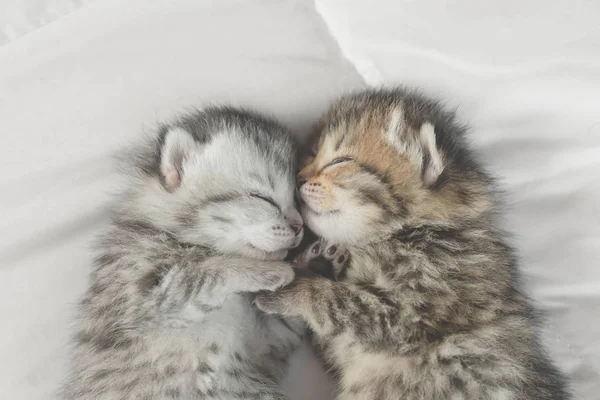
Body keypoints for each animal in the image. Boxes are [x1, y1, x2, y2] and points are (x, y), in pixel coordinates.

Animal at [61, 107, 308, 400]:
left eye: (296, 201)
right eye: (262, 198)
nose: (300, 227)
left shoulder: (265, 346)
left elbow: (289, 324)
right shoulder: (142, 300)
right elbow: (204, 273)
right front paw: (270, 271)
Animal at [254, 89, 572, 400]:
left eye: (339, 162)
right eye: (310, 155)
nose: (298, 179)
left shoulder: (414, 309)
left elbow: (342, 302)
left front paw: (296, 287)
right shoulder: (344, 347)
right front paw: (318, 263)